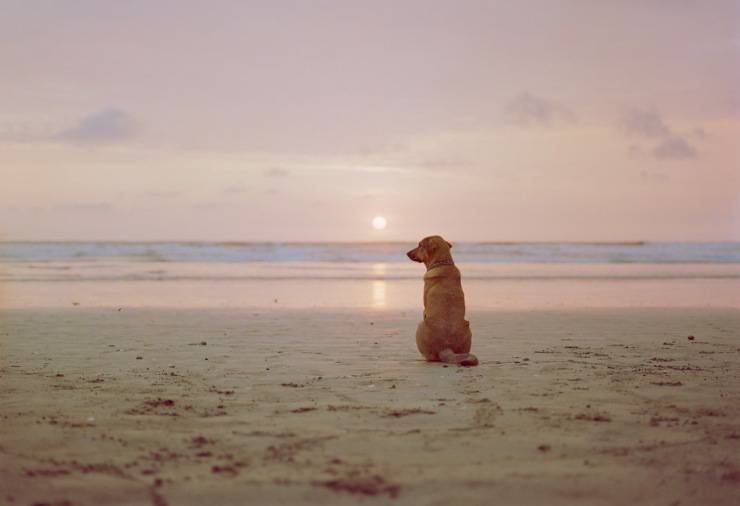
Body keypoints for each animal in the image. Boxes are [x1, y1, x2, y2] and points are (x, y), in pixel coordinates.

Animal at [404, 235, 480, 366]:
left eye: (420, 245)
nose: (407, 253)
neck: (442, 264)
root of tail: (446, 348)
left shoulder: (424, 309)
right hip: (468, 328)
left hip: (420, 325)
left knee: (430, 358)